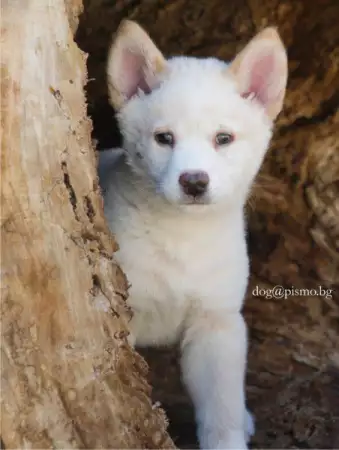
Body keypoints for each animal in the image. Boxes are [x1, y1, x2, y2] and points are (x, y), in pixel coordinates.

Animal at [99, 22, 288, 450]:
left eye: (223, 138)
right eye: (164, 138)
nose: (195, 181)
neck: (183, 235)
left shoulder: (216, 324)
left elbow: (222, 409)